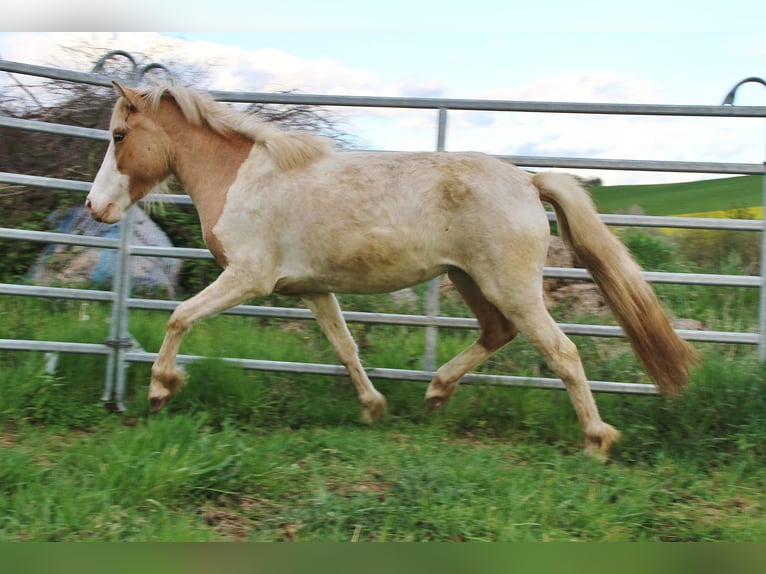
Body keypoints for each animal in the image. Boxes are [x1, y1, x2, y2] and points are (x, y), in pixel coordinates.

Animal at [85, 81, 698, 456]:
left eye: (118, 136)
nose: (95, 207)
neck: (244, 178)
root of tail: (527, 181)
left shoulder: (247, 278)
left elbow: (179, 317)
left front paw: (160, 390)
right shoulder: (312, 289)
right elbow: (344, 347)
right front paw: (373, 407)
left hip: (511, 287)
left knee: (562, 351)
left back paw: (597, 438)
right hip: (468, 279)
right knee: (496, 333)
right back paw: (436, 393)